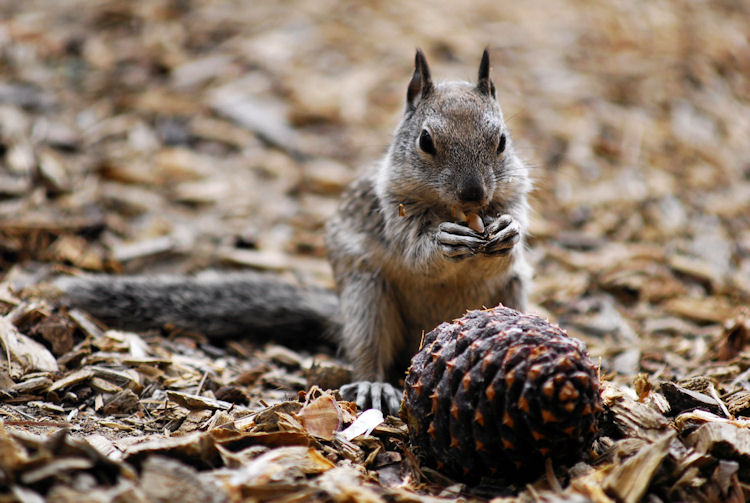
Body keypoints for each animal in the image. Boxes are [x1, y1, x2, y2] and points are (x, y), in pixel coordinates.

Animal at [55, 49, 532, 416]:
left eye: (502, 141)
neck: (453, 210)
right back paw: (374, 385)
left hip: (510, 295)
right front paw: (443, 239)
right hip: (366, 300)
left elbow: (512, 233)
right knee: (367, 354)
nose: (474, 194)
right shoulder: (388, 212)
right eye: (426, 142)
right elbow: (416, 250)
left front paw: (507, 230)